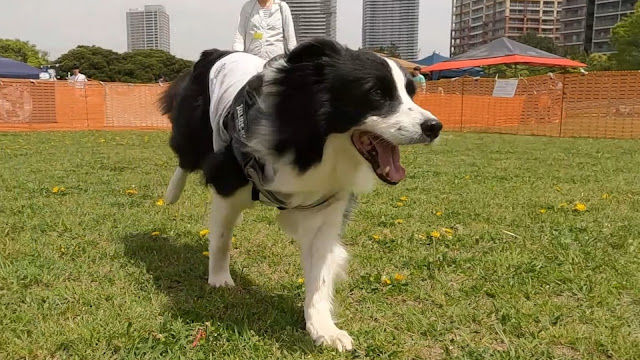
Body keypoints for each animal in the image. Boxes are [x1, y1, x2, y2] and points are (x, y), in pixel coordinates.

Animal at [159, 40, 440, 352]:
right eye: (376, 92)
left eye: (411, 93)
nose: (434, 126)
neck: (315, 142)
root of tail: (216, 53)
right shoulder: (227, 182)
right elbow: (221, 238)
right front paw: (219, 279)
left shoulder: (325, 203)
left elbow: (320, 273)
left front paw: (323, 328)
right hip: (194, 130)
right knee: (184, 157)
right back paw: (171, 194)